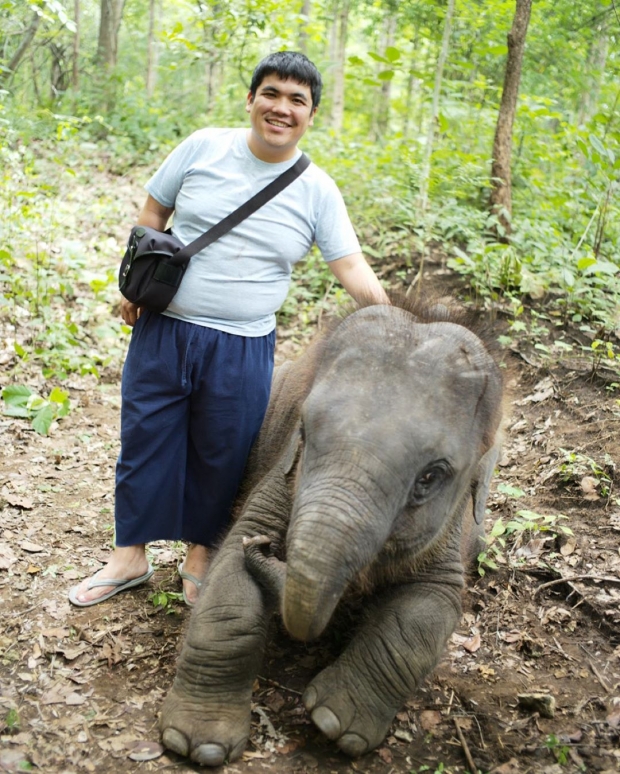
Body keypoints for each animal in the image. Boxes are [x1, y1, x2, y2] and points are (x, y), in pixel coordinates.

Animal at [159, 300, 504, 768]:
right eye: (304, 430)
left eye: (431, 476)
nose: (265, 549)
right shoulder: (282, 474)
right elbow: (231, 569)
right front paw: (197, 744)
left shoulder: (448, 532)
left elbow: (430, 607)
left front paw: (335, 722)